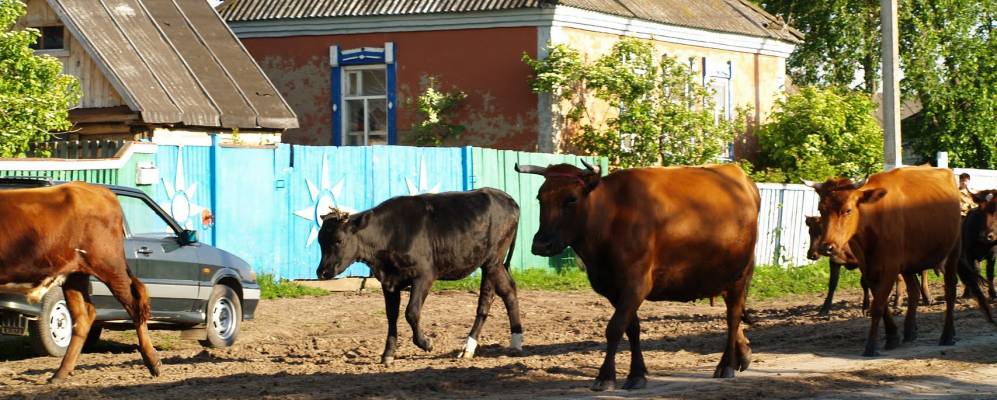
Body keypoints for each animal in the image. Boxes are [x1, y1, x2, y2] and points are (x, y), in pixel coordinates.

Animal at [0, 180, 159, 382]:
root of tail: (98, 189)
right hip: (75, 275)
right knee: (84, 316)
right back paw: (61, 372)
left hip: (109, 266)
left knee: (135, 305)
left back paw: (152, 361)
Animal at [318, 189, 520, 368]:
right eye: (320, 241)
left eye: (338, 240)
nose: (322, 272)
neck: (389, 233)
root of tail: (507, 198)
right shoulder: (389, 282)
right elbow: (391, 316)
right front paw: (388, 355)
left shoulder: (424, 276)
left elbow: (411, 312)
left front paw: (426, 343)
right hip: (495, 264)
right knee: (508, 290)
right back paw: (515, 343)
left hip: (492, 261)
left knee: (486, 298)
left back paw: (468, 347)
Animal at [516, 159, 760, 390]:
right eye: (540, 197)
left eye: (571, 199)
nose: (541, 245)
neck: (612, 215)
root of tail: (742, 178)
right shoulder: (613, 289)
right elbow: (631, 328)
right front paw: (637, 374)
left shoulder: (637, 283)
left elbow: (615, 328)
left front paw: (605, 377)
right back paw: (743, 353)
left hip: (740, 274)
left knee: (732, 317)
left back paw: (726, 365)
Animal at [804, 166, 992, 356]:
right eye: (821, 209)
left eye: (848, 210)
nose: (827, 247)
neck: (874, 220)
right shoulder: (869, 269)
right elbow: (881, 303)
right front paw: (892, 336)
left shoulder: (890, 268)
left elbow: (878, 306)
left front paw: (870, 347)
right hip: (908, 263)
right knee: (914, 290)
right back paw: (910, 332)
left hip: (952, 253)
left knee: (950, 291)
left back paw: (947, 335)